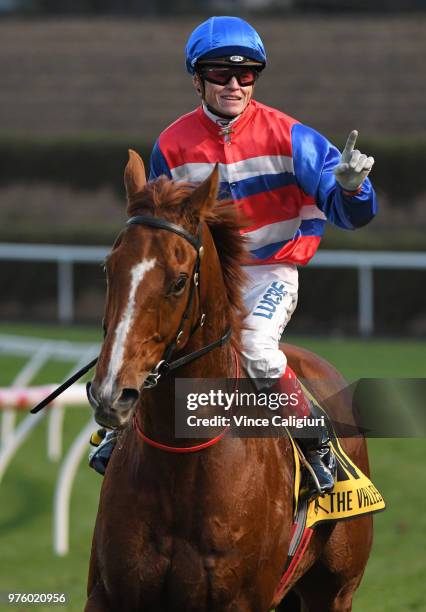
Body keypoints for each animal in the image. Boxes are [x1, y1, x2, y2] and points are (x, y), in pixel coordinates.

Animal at [85, 151, 372, 608]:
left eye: (178, 281)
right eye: (109, 268)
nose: (112, 393)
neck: (181, 463)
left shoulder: (241, 599)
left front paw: (349, 176)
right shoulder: (109, 594)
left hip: (334, 590)